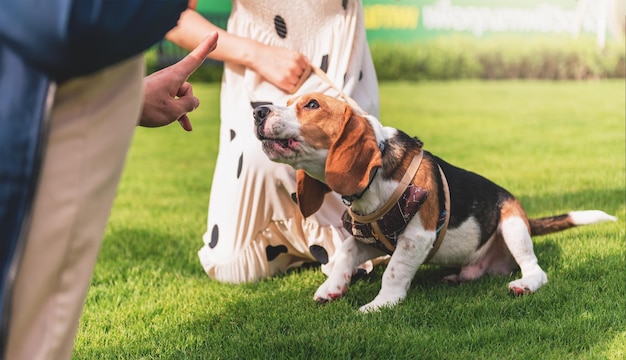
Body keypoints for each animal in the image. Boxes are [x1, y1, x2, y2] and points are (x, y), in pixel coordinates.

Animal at [252, 92, 616, 312]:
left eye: (311, 105)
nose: (257, 110)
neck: (375, 178)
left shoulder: (417, 237)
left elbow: (393, 272)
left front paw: (381, 304)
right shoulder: (368, 239)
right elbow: (342, 255)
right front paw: (331, 288)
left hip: (512, 224)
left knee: (535, 268)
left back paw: (525, 284)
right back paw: (460, 275)